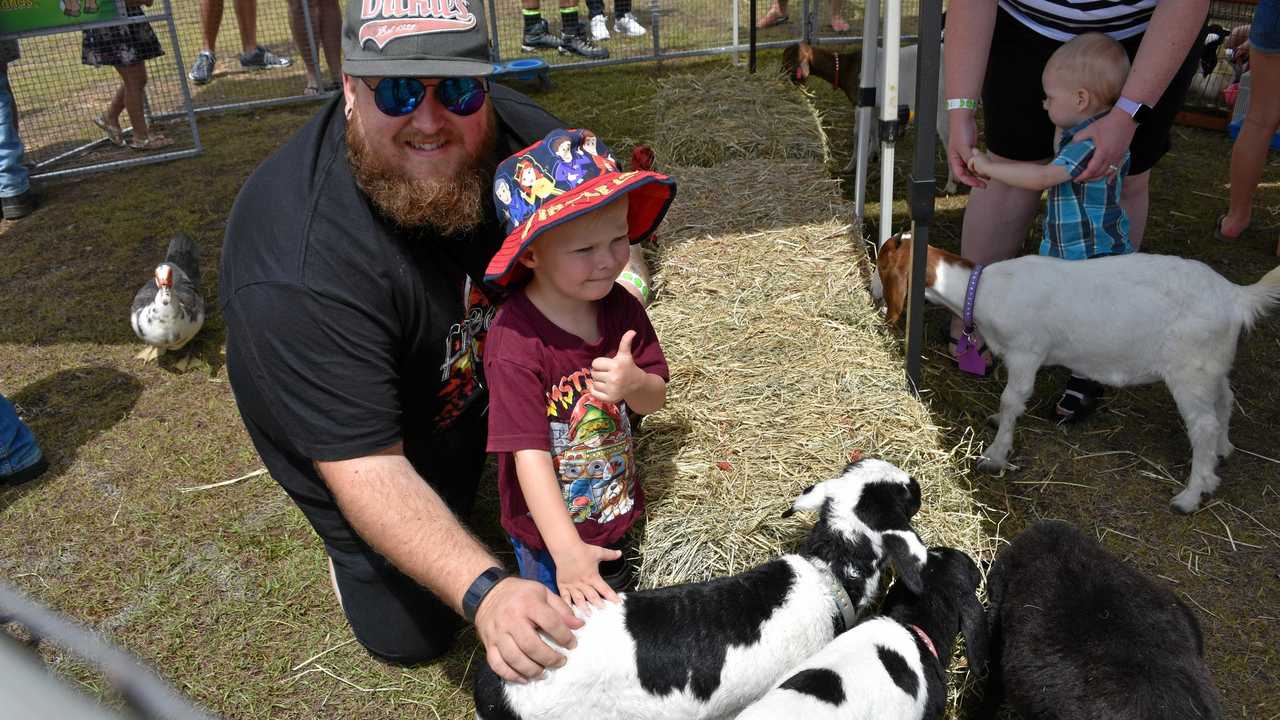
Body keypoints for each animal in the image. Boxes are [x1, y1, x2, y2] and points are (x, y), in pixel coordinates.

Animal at [875, 235, 1280, 509]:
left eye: (881, 266)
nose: (876, 295)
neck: (985, 290)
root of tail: (1235, 297)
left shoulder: (1026, 352)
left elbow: (1012, 401)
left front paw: (995, 454)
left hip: (1189, 371)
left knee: (1203, 426)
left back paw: (1192, 493)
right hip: (1212, 366)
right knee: (1225, 401)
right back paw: (1223, 451)